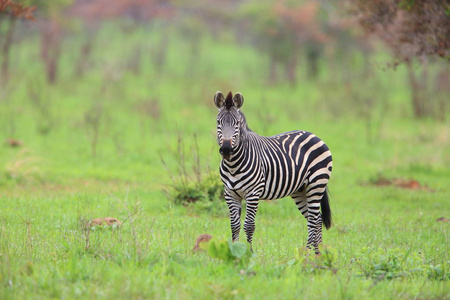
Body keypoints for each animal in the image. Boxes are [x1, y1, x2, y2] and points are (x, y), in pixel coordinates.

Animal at [213, 90, 332, 252]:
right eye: (218, 122)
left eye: (236, 123)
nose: (226, 149)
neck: (233, 165)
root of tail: (313, 135)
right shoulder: (230, 193)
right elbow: (234, 225)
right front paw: (234, 251)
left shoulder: (253, 193)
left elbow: (249, 225)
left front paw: (249, 252)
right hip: (300, 190)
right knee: (317, 219)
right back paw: (317, 253)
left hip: (317, 184)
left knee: (313, 220)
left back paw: (307, 253)